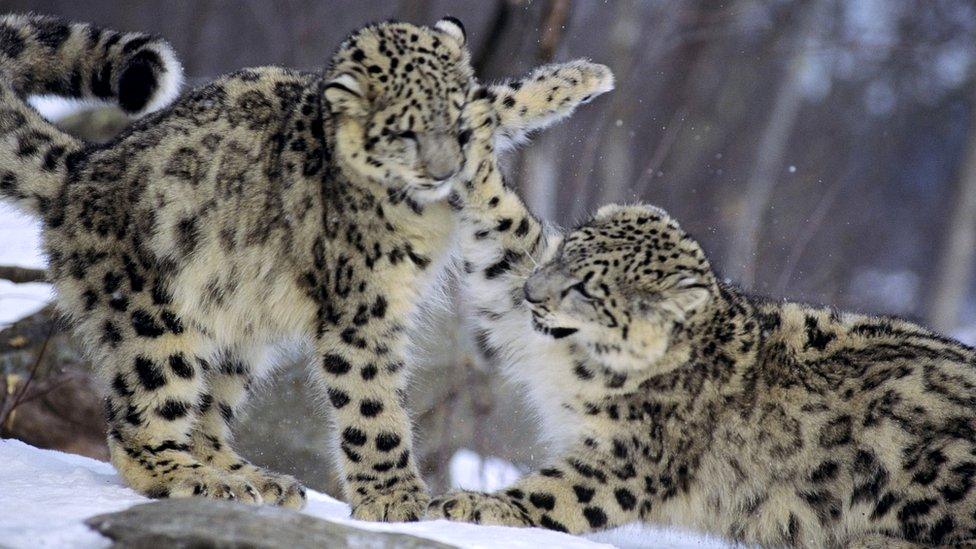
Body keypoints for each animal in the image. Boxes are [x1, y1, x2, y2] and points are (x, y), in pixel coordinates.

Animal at [0, 11, 478, 520]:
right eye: (405, 132)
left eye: (461, 117)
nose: (448, 171)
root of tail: (81, 167)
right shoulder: (361, 310)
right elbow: (372, 402)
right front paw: (398, 500)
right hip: (151, 323)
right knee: (138, 425)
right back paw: (201, 480)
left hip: (235, 332)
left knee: (204, 414)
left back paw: (258, 480)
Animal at [430, 74, 976, 548]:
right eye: (565, 251)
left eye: (587, 289)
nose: (533, 294)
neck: (577, 363)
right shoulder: (513, 278)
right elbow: (499, 224)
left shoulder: (630, 458)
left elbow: (556, 494)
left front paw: (472, 506)